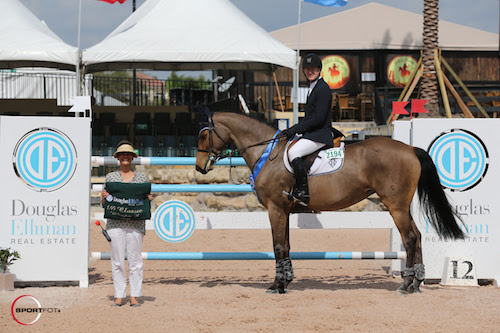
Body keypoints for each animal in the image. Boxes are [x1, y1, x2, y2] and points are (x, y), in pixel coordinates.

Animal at [194, 111, 464, 294]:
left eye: (205, 134)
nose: (199, 168)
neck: (267, 154)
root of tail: (409, 148)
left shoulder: (275, 209)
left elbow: (278, 246)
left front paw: (277, 285)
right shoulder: (285, 211)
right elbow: (286, 245)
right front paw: (287, 280)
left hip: (395, 206)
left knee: (409, 238)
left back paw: (406, 284)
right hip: (402, 206)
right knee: (417, 236)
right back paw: (416, 283)